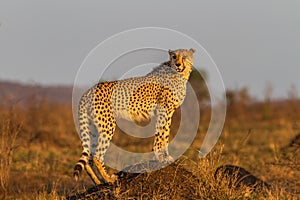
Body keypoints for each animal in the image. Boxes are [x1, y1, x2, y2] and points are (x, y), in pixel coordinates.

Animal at [74, 48, 196, 184]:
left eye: (184, 57)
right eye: (174, 57)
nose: (178, 64)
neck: (179, 74)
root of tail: (87, 92)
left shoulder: (166, 111)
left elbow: (164, 134)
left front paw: (164, 157)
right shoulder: (164, 110)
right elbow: (163, 134)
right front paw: (162, 157)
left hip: (93, 127)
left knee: (88, 157)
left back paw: (99, 181)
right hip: (107, 125)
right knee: (97, 156)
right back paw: (109, 179)